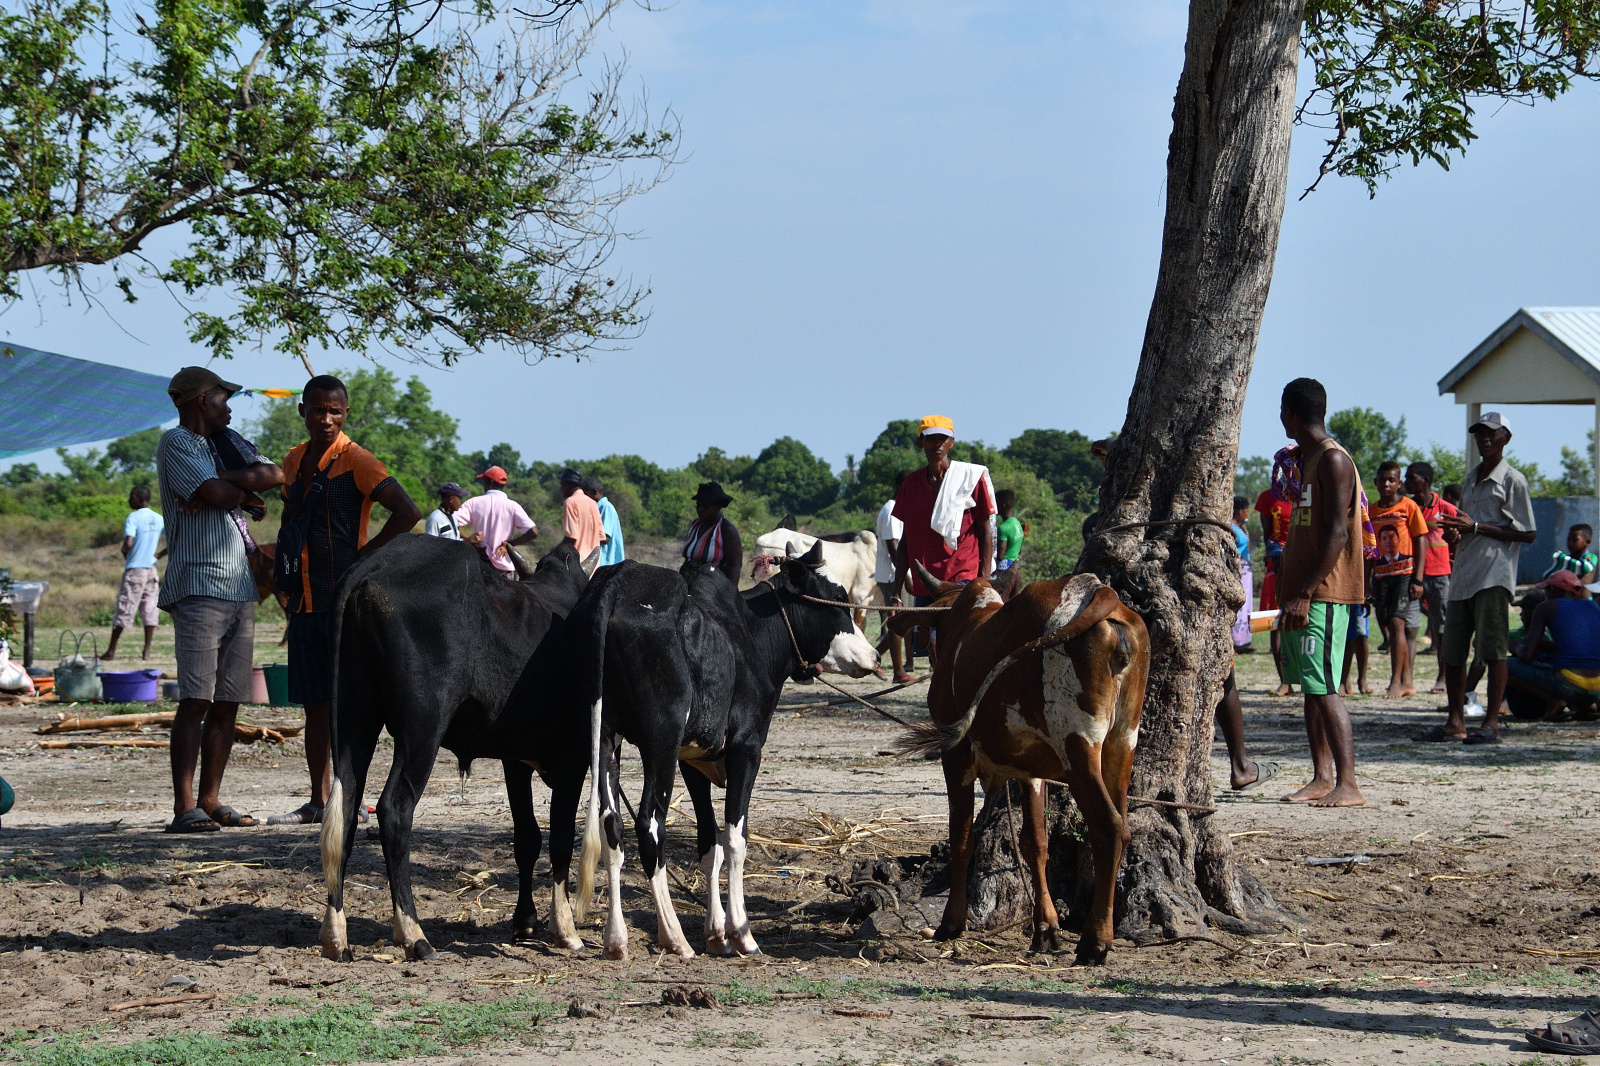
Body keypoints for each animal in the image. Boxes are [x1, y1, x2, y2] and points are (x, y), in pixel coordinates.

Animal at [315, 534, 592, 960]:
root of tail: (375, 564)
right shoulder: (574, 761)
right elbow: (560, 840)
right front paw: (564, 929)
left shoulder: (515, 761)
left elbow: (527, 838)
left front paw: (524, 920)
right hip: (422, 727)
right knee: (394, 810)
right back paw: (413, 934)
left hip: (353, 719)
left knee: (343, 809)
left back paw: (336, 935)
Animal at [572, 541, 883, 953]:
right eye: (835, 600)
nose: (874, 656)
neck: (750, 633)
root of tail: (614, 588)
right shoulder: (745, 749)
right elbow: (736, 838)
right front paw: (740, 932)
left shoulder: (693, 761)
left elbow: (709, 844)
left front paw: (716, 933)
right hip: (660, 743)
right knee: (649, 825)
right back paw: (673, 936)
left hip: (607, 739)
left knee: (612, 827)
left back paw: (616, 939)